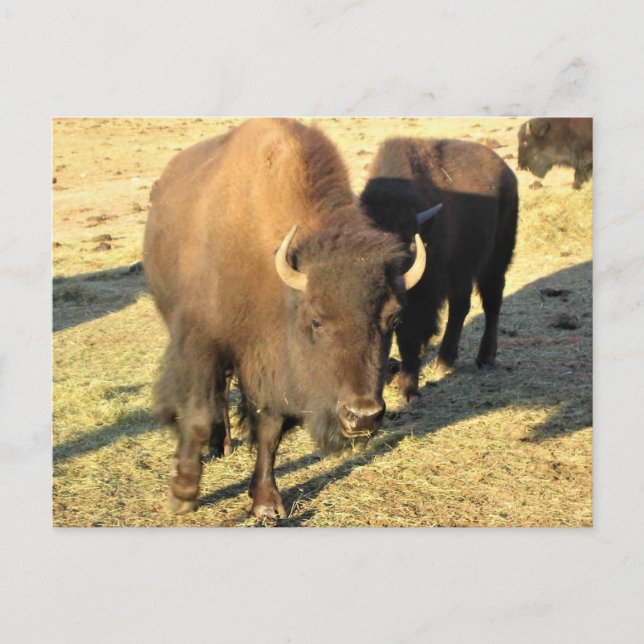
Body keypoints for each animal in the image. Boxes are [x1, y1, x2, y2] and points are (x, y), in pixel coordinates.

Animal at [144, 119, 428, 519]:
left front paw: (266, 503)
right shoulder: (202, 342)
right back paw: (214, 449)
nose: (363, 416)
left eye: (394, 320)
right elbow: (196, 415)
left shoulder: (269, 366)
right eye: (316, 320)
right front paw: (182, 493)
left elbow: (270, 430)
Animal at [360, 137, 518, 402]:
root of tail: (507, 173)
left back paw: (484, 358)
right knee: (460, 307)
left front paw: (408, 392)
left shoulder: (421, 300)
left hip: (495, 262)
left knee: (492, 304)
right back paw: (444, 361)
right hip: (463, 271)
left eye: (409, 242)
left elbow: (409, 338)